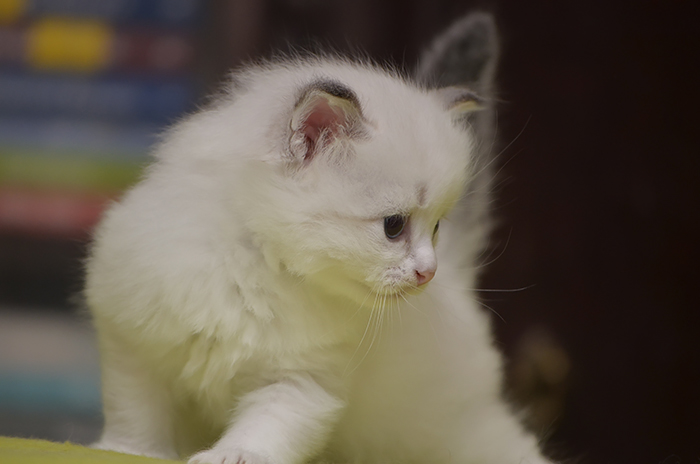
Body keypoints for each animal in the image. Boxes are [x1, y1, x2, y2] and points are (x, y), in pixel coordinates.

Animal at [84, 13, 555, 464]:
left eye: (437, 227)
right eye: (394, 226)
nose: (428, 271)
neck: (259, 266)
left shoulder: (301, 383)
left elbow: (265, 430)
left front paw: (232, 455)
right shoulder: (131, 342)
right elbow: (137, 413)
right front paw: (129, 450)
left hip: (459, 431)